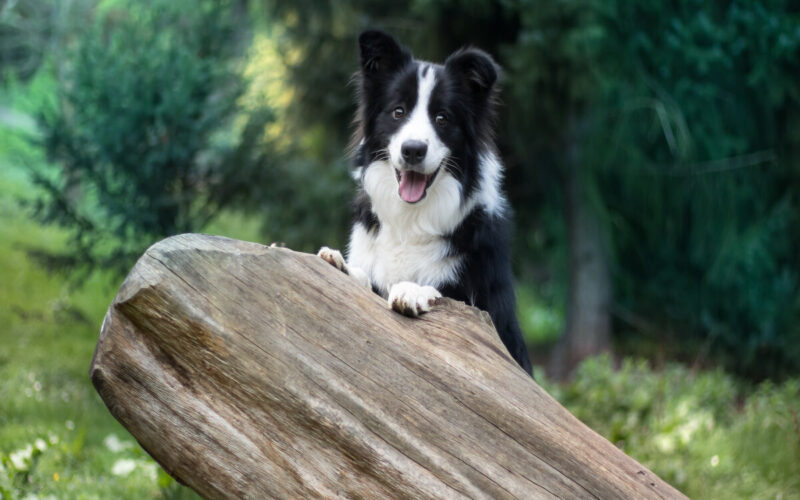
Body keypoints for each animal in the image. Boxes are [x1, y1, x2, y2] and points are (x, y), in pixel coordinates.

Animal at [318, 30, 532, 376]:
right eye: (398, 111)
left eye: (442, 118)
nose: (413, 150)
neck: (411, 218)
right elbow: (366, 280)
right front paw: (340, 264)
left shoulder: (486, 311)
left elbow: (445, 295)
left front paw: (412, 290)